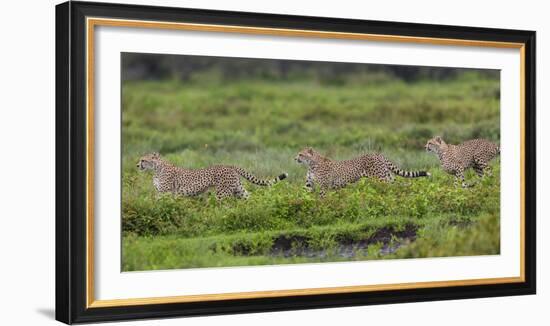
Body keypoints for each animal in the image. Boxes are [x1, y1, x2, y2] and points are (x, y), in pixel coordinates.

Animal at [137, 153, 288, 201]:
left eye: (143, 160)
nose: (137, 165)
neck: (156, 169)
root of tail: (229, 165)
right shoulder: (162, 192)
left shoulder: (165, 193)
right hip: (238, 190)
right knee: (249, 199)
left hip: (222, 193)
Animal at [298, 147, 432, 197]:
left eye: (300, 154)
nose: (295, 158)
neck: (311, 164)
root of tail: (378, 154)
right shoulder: (309, 185)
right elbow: (306, 193)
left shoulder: (324, 186)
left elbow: (322, 197)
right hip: (387, 176)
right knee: (398, 185)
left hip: (381, 178)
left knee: (392, 187)